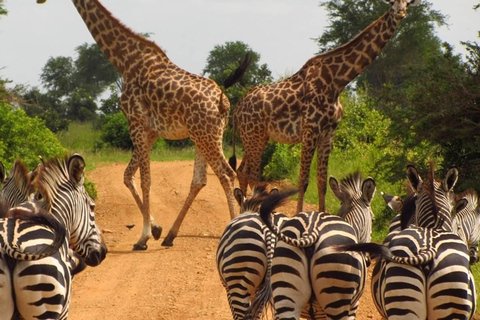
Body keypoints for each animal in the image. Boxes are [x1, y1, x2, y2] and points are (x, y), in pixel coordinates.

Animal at [36, 0, 251, 249]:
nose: (40, 2)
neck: (125, 61)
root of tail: (223, 101)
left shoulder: (136, 122)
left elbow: (145, 179)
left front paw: (143, 237)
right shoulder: (151, 131)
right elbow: (128, 175)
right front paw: (156, 229)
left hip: (207, 136)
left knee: (226, 174)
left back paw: (233, 226)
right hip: (202, 136)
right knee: (200, 180)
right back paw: (170, 235)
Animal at [232, 0, 420, 215]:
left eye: (407, 3)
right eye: (393, 3)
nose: (400, 12)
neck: (336, 82)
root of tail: (237, 109)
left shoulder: (328, 134)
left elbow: (322, 181)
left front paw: (322, 215)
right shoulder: (310, 131)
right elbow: (303, 180)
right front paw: (299, 215)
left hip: (256, 137)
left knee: (242, 171)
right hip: (254, 136)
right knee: (252, 174)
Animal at [256, 172, 376, 320]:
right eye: (373, 219)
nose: (369, 260)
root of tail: (311, 229)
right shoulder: (353, 307)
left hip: (285, 293)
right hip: (337, 294)